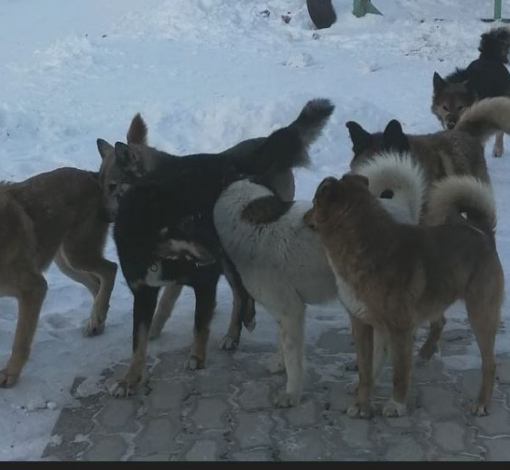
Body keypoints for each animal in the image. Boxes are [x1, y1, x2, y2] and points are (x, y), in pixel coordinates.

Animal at [0, 168, 116, 386]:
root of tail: (91, 175)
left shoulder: (35, 288)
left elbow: (20, 340)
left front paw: (11, 373)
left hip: (77, 255)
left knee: (111, 269)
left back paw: (97, 316)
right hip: (66, 263)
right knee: (96, 283)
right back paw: (97, 321)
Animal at [108, 99, 334, 396]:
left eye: (111, 184)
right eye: (103, 183)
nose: (103, 212)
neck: (156, 251)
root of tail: (265, 145)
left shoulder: (204, 279)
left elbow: (198, 323)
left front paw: (196, 357)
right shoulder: (144, 291)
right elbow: (139, 341)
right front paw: (130, 379)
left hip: (233, 257)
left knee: (240, 294)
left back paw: (240, 325)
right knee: (240, 293)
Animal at [306, 172, 502, 418]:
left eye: (314, 202)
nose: (303, 217)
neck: (365, 246)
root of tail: (481, 231)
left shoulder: (400, 329)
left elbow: (399, 373)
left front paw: (396, 404)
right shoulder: (362, 324)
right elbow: (366, 370)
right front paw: (362, 403)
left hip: (480, 314)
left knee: (489, 364)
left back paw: (482, 402)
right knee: (439, 322)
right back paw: (424, 354)